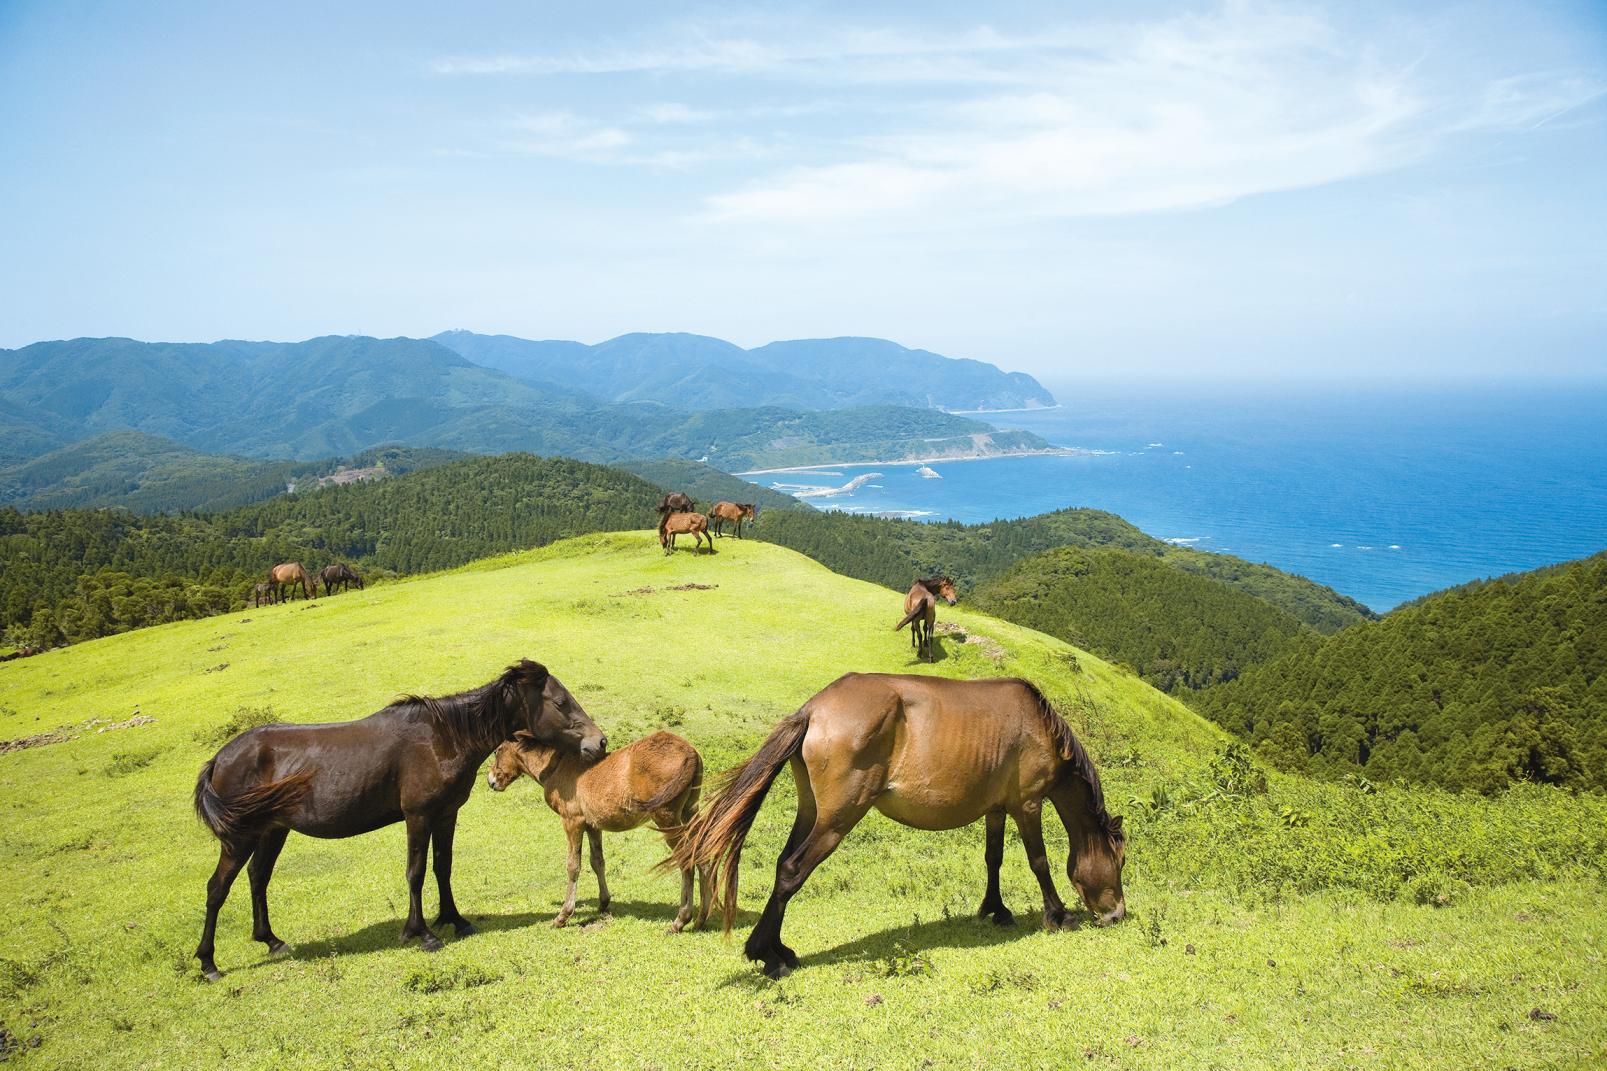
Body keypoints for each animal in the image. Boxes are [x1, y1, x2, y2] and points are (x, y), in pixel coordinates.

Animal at [191, 649, 604, 977]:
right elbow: (416, 872)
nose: (599, 743)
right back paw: (209, 963)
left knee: (258, 878)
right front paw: (421, 933)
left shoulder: (446, 815)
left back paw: (272, 941)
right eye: (560, 702)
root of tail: (220, 759)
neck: (443, 738)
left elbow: (442, 867)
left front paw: (454, 920)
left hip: (272, 831)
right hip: (239, 837)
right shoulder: (418, 816)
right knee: (217, 889)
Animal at [482, 726, 710, 926]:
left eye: (497, 750)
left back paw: (681, 920)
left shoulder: (572, 821)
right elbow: (597, 861)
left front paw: (563, 915)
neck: (559, 765)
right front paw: (604, 903)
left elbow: (573, 865)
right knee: (702, 853)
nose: (491, 781)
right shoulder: (593, 825)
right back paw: (701, 919)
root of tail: (689, 752)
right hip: (690, 811)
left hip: (666, 818)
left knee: (686, 858)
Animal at [671, 675, 1124, 977]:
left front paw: (995, 909)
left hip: (812, 811)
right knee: (792, 870)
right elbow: (1039, 862)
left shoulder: (996, 809)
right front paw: (1058, 915)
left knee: (784, 863)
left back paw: (776, 949)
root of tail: (813, 709)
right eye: (1120, 862)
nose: (1117, 914)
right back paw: (768, 956)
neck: (1039, 726)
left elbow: (992, 859)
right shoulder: (1027, 804)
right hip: (838, 818)